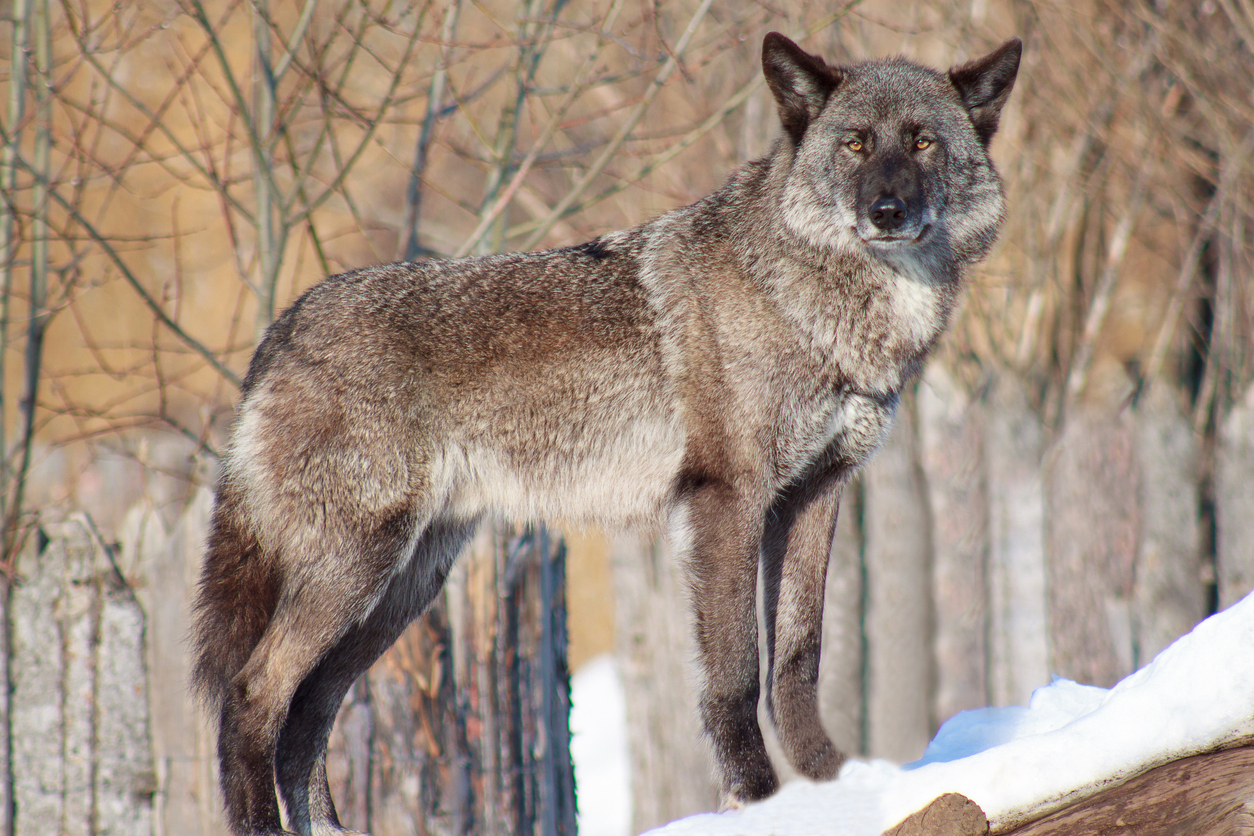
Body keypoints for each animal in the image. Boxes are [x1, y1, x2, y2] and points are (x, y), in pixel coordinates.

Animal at [193, 31, 1018, 836]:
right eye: (854, 144)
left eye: (921, 143)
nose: (886, 210)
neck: (819, 302)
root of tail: (281, 329)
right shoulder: (727, 501)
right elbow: (735, 674)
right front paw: (755, 801)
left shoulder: (813, 497)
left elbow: (797, 660)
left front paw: (833, 788)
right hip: (357, 572)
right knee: (254, 693)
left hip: (400, 591)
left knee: (307, 710)